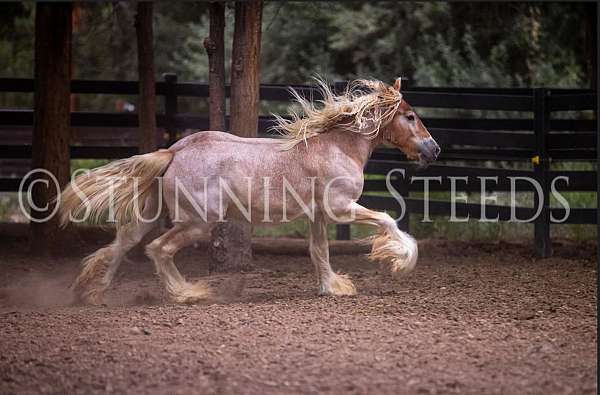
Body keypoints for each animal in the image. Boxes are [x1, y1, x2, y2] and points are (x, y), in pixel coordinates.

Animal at [58, 78, 438, 306]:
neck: (337, 147)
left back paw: (92, 291)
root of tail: (174, 150)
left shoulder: (317, 215)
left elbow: (319, 252)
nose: (433, 149)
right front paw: (401, 260)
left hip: (152, 214)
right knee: (158, 249)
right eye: (410, 116)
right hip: (198, 222)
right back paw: (189, 293)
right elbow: (387, 219)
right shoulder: (341, 207)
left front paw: (333, 287)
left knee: (123, 243)